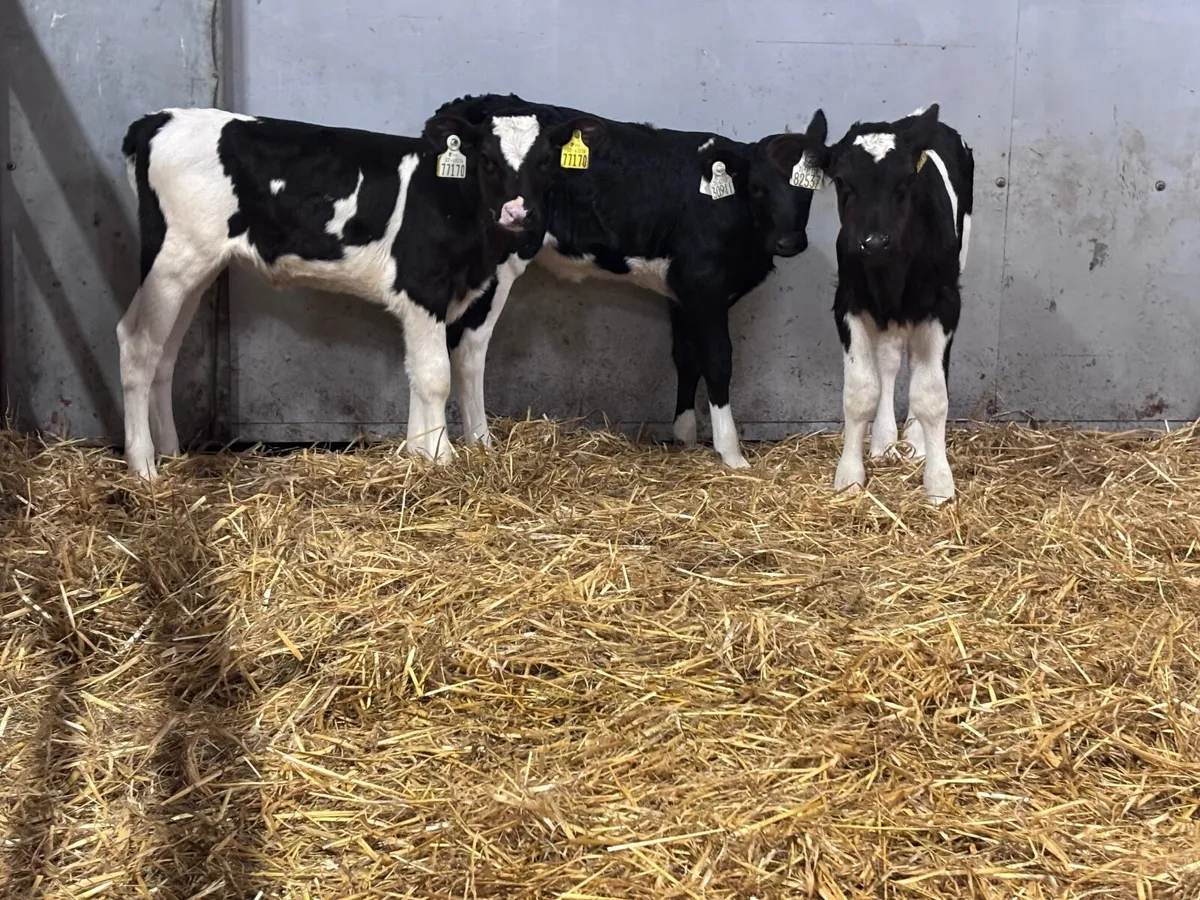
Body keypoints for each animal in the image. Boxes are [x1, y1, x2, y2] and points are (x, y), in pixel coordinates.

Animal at [117, 105, 600, 478]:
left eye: (545, 161)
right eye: (487, 158)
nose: (518, 212)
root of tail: (157, 119)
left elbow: (430, 371)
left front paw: (419, 453)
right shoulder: (422, 287)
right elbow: (435, 375)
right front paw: (440, 457)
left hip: (196, 269)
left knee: (165, 354)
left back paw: (171, 453)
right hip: (173, 261)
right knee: (138, 344)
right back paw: (144, 469)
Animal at [435, 93, 829, 469]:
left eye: (810, 188)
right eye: (759, 189)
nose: (789, 242)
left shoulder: (682, 292)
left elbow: (686, 356)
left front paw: (685, 436)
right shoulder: (706, 289)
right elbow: (717, 362)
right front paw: (732, 454)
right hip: (498, 265)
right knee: (470, 348)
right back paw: (481, 442)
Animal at [811, 104, 973, 503]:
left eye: (903, 184)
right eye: (843, 183)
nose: (874, 241)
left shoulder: (945, 305)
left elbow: (931, 393)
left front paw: (939, 484)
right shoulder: (848, 302)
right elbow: (861, 390)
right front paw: (850, 474)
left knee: (919, 365)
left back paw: (916, 441)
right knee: (889, 362)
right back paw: (884, 441)